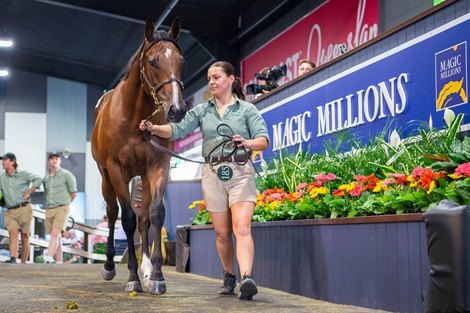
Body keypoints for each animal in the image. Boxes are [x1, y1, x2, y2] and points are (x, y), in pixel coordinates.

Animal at [91, 18, 186, 294]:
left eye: (181, 60)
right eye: (153, 61)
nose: (177, 110)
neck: (134, 116)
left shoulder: (158, 165)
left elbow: (155, 214)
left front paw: (155, 276)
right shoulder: (116, 169)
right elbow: (128, 219)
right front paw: (132, 277)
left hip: (142, 176)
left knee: (144, 218)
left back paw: (146, 269)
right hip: (107, 177)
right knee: (113, 213)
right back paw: (109, 266)